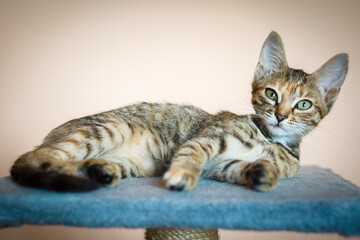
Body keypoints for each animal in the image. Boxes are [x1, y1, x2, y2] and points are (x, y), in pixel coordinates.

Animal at [11, 31, 348, 192]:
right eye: (271, 94)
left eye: (303, 104)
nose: (280, 116)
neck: (271, 141)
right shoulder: (208, 139)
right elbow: (191, 155)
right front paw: (183, 174)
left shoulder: (222, 167)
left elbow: (244, 167)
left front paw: (263, 173)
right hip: (106, 129)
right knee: (36, 158)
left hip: (134, 163)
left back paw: (99, 171)